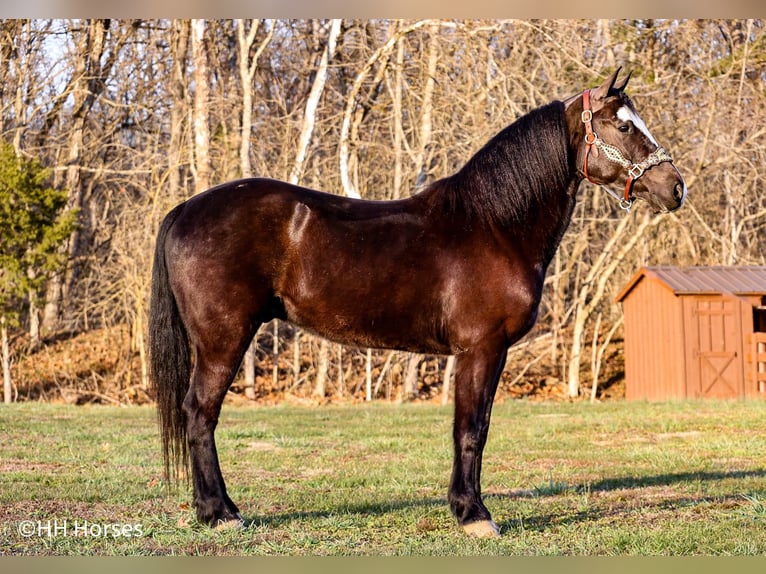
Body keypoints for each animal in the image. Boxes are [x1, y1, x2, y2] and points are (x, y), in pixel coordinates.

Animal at [149, 69, 686, 538]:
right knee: (200, 413)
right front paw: (474, 515)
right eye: (623, 125)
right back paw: (220, 512)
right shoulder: (481, 349)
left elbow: (474, 428)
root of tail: (185, 209)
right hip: (223, 339)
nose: (675, 187)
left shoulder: (486, 354)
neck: (494, 225)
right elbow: (471, 430)